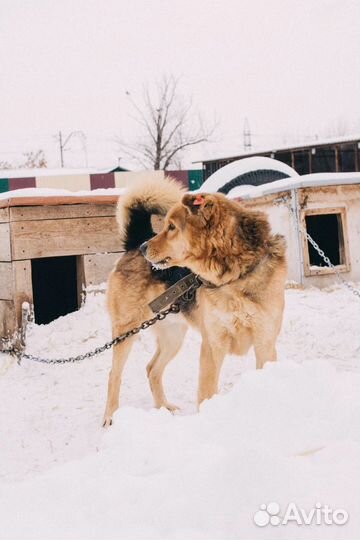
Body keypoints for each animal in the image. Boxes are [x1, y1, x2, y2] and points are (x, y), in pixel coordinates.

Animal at [102, 177, 286, 426]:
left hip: (173, 337)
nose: (144, 247)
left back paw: (163, 407)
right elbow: (206, 393)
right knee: (114, 374)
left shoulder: (265, 342)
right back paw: (110, 417)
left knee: (152, 369)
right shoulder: (212, 345)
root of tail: (135, 239)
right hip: (126, 331)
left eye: (171, 227)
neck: (232, 277)